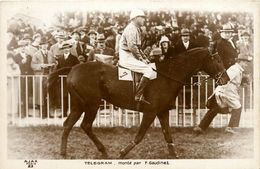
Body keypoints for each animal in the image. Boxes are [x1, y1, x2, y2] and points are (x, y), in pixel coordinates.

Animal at [47, 47, 226, 158]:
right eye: (217, 61)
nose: (226, 78)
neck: (167, 76)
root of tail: (72, 69)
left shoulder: (162, 112)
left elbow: (167, 134)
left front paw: (174, 155)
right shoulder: (150, 112)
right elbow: (139, 136)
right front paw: (122, 153)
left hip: (79, 105)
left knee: (68, 125)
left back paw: (64, 152)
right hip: (91, 104)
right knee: (85, 125)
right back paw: (102, 150)